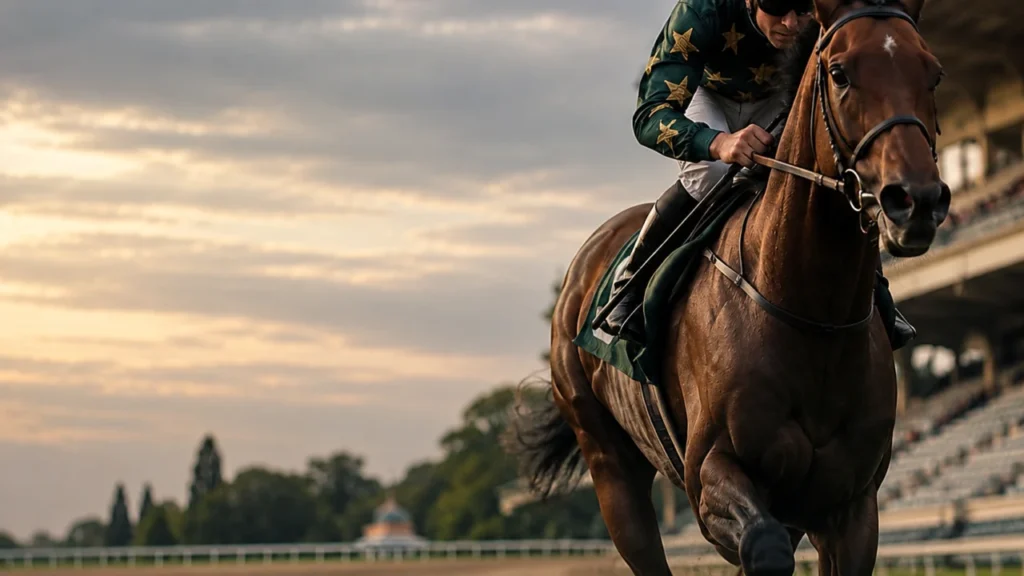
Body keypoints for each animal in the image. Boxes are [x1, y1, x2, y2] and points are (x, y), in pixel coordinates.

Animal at [508, 0, 949, 573]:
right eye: (840, 73)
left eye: (933, 73)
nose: (916, 201)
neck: (811, 311)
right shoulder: (710, 479)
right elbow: (762, 545)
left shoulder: (852, 509)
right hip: (608, 462)